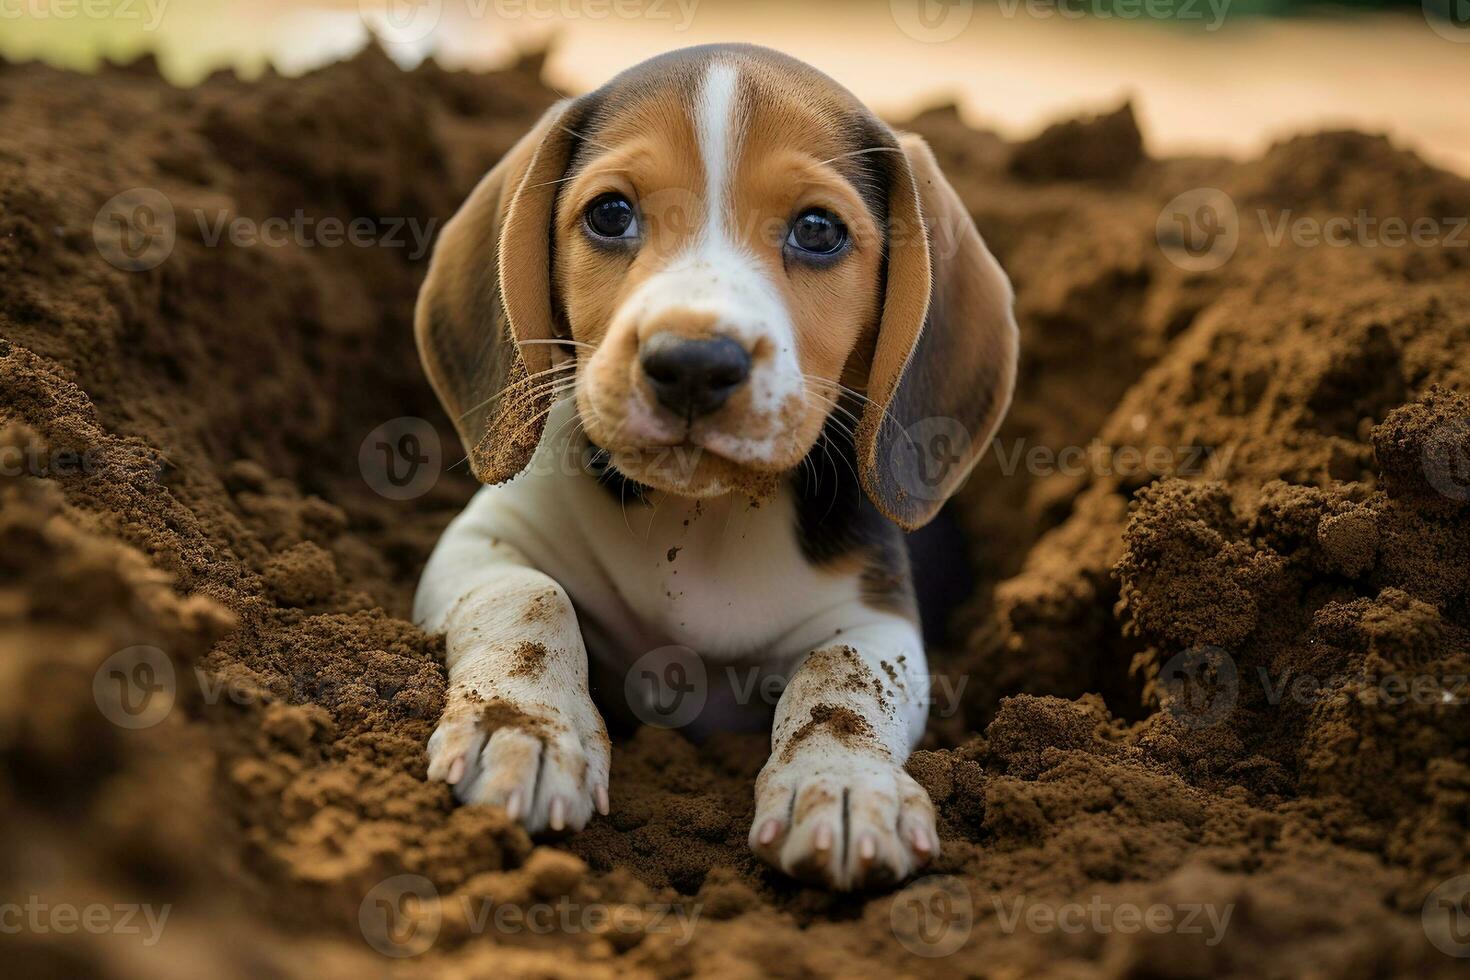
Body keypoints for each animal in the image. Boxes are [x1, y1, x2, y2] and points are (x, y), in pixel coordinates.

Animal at [408, 44, 1017, 887]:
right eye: (610, 214)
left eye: (819, 230)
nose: (693, 364)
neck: (698, 515)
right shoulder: (479, 543)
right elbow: (529, 597)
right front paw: (522, 730)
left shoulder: (877, 617)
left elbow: (841, 676)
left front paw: (843, 785)